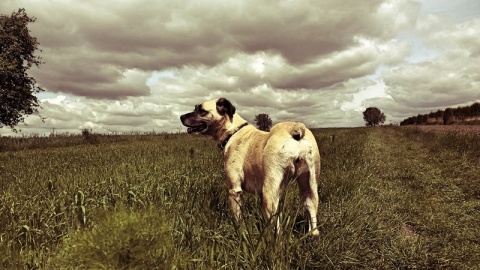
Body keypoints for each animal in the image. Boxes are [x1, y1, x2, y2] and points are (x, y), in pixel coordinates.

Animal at [182, 98, 320, 235]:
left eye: (201, 110)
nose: (181, 116)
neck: (233, 132)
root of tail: (295, 128)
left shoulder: (234, 190)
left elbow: (237, 218)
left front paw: (239, 232)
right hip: (310, 187)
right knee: (312, 216)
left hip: (270, 192)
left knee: (276, 227)